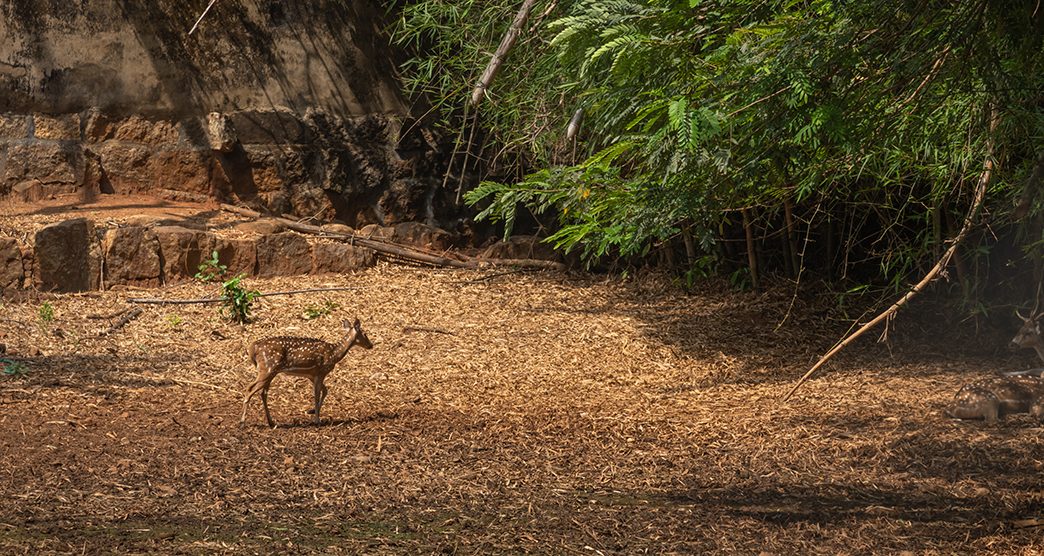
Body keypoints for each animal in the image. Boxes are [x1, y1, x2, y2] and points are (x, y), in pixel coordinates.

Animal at [241, 317, 375, 425]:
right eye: (365, 333)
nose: (371, 345)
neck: (334, 354)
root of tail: (252, 348)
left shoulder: (312, 375)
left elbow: (325, 391)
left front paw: (312, 411)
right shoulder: (321, 371)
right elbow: (317, 394)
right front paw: (317, 420)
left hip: (270, 371)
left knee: (262, 392)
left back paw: (271, 422)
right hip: (267, 368)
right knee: (250, 388)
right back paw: (242, 421)